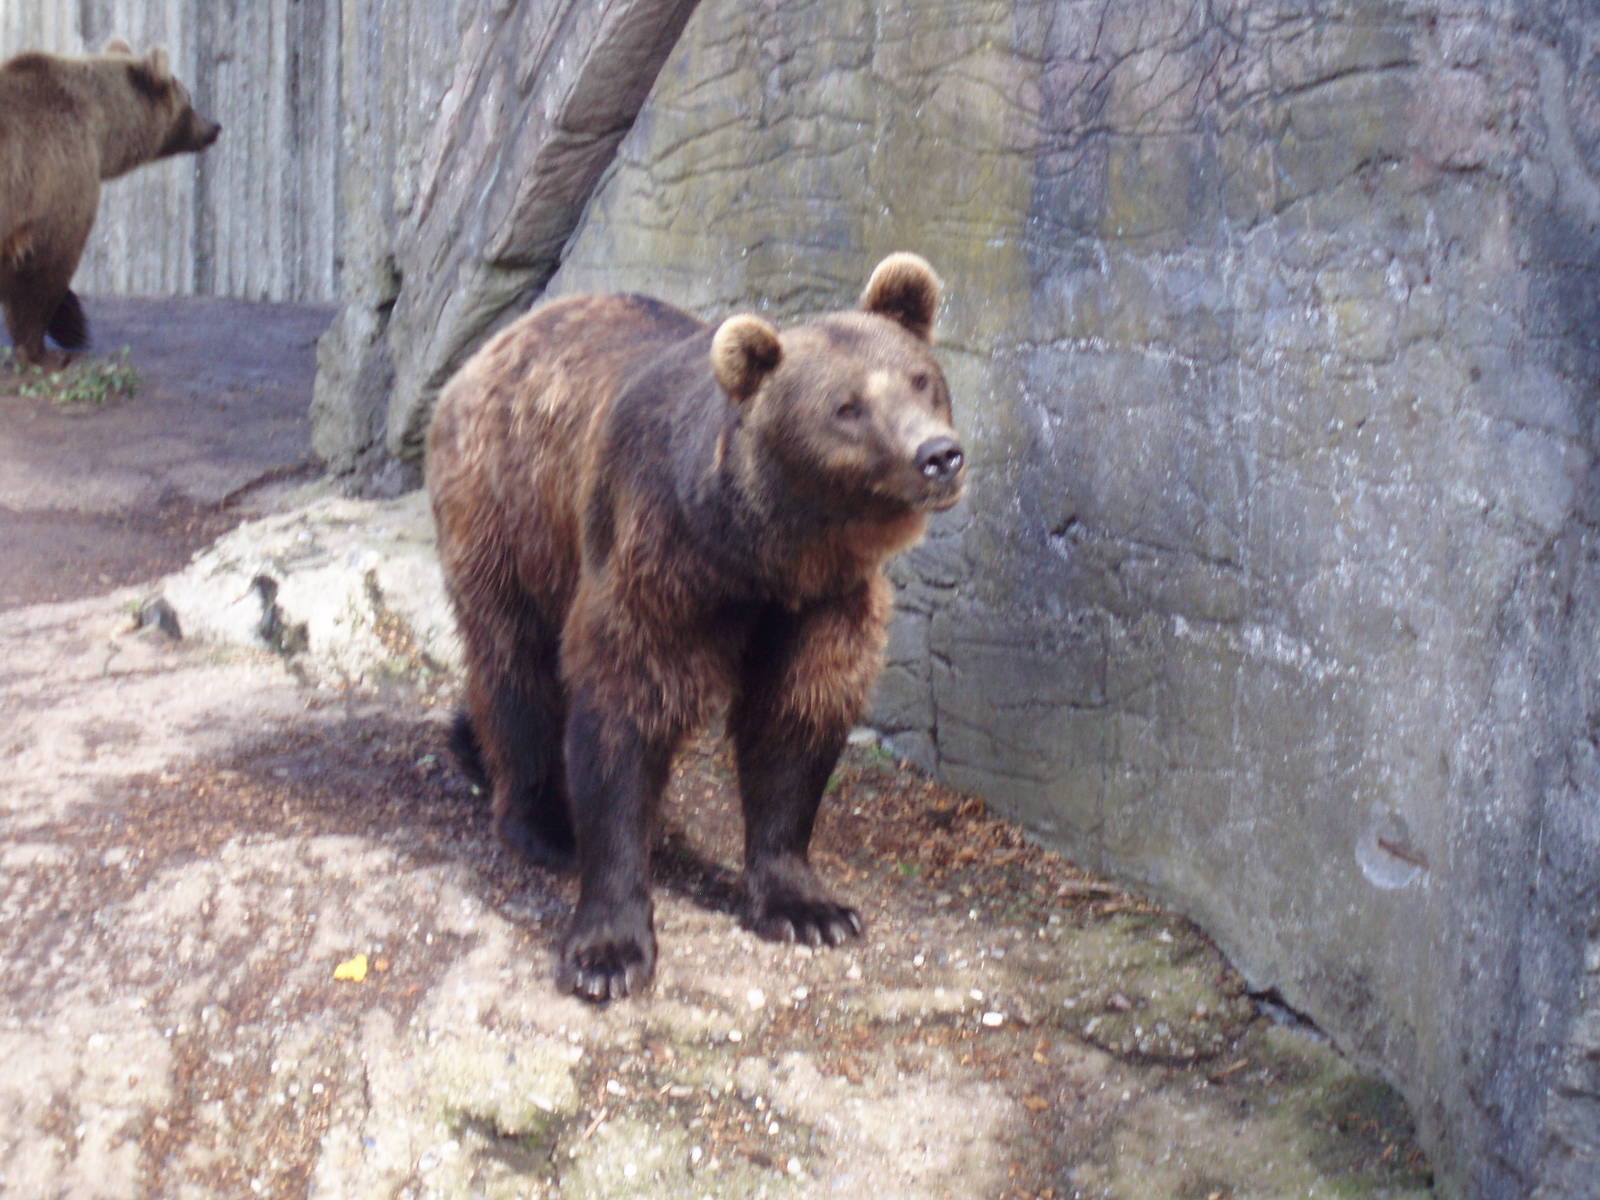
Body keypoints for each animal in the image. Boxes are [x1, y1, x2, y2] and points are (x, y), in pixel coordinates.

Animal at [0, 40, 221, 368]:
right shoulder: (53, 177)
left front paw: (70, 324)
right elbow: (44, 265)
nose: (214, 126)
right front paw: (47, 345)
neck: (101, 131)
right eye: (188, 97)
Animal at [427, 253, 966, 1001]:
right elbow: (624, 717)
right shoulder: (659, 571)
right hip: (509, 509)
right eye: (847, 407)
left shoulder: (820, 605)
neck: (762, 555)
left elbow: (796, 722)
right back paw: (541, 820)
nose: (938, 454)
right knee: (514, 664)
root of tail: (485, 352)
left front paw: (810, 908)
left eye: (921, 378)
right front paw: (608, 951)